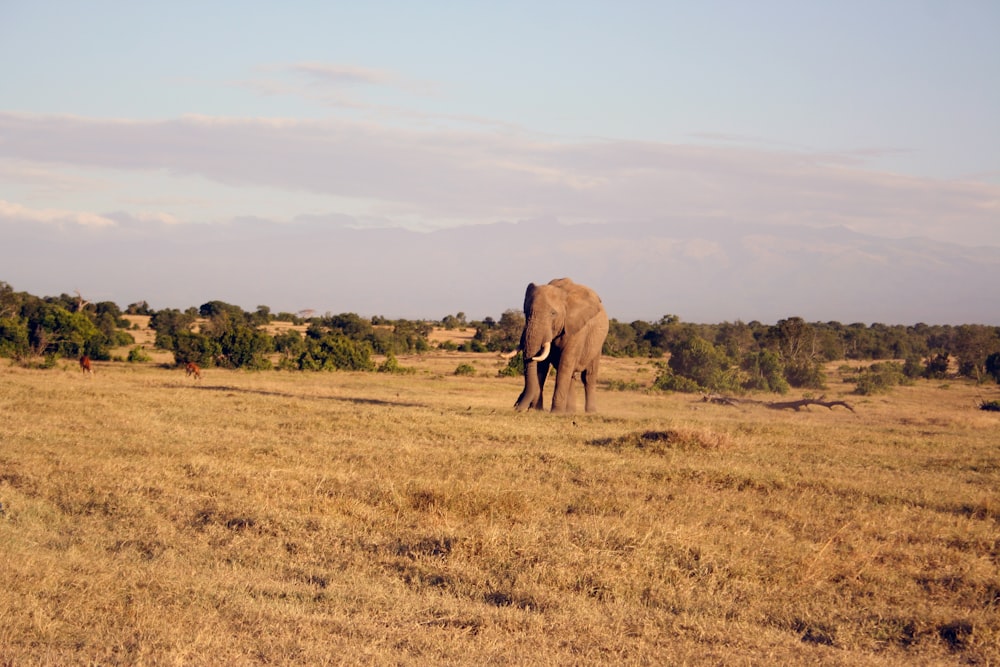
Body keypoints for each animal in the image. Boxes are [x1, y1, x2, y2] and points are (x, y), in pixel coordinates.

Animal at [508, 276, 608, 412]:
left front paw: (555, 413)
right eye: (525, 312)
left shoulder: (577, 328)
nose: (517, 407)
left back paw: (590, 412)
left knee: (588, 376)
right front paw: (536, 410)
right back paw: (570, 412)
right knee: (572, 375)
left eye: (553, 313)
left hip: (597, 343)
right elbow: (542, 365)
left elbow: (565, 363)